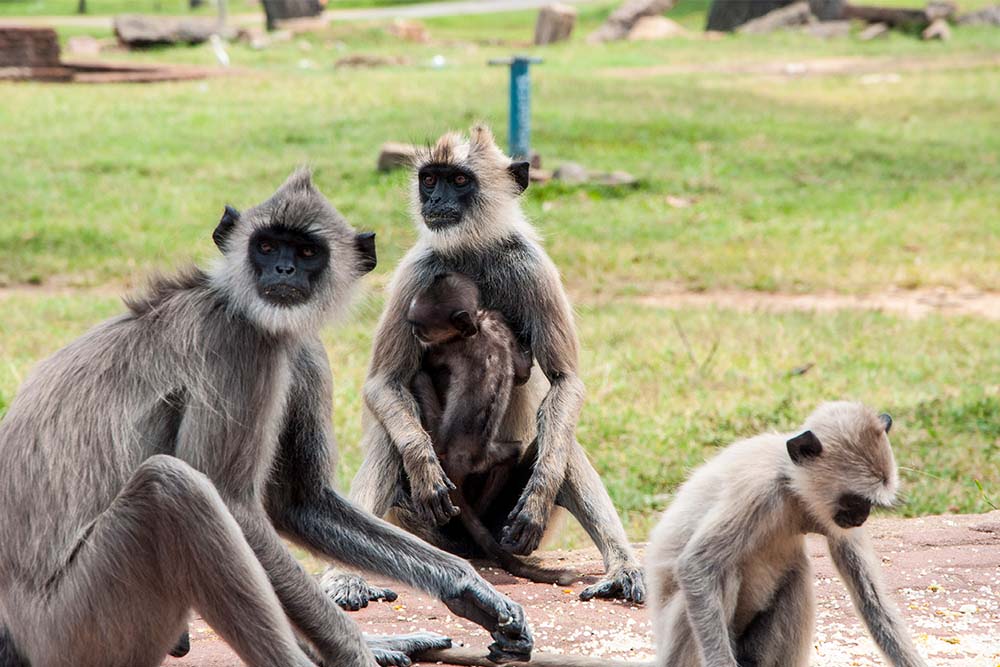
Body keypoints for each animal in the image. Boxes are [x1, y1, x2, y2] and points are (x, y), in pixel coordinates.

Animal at [0, 171, 532, 667]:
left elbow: (300, 502)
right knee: (176, 489)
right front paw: (357, 651)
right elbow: (234, 504)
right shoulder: (240, 344)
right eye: (268, 245)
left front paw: (469, 589)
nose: (283, 269)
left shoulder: (301, 347)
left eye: (307, 251)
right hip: (73, 628)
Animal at [406, 272, 576, 584]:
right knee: (511, 454)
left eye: (420, 327)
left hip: (439, 440)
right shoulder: (499, 327)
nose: (415, 335)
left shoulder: (447, 346)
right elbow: (520, 373)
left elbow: (428, 364)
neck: (477, 327)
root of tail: (458, 458)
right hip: (486, 456)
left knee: (420, 377)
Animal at [644, 402, 932, 667]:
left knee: (796, 576)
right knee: (724, 572)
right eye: (854, 501)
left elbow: (871, 600)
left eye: (869, 504)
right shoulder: (759, 492)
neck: (792, 489)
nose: (862, 518)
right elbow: (696, 565)